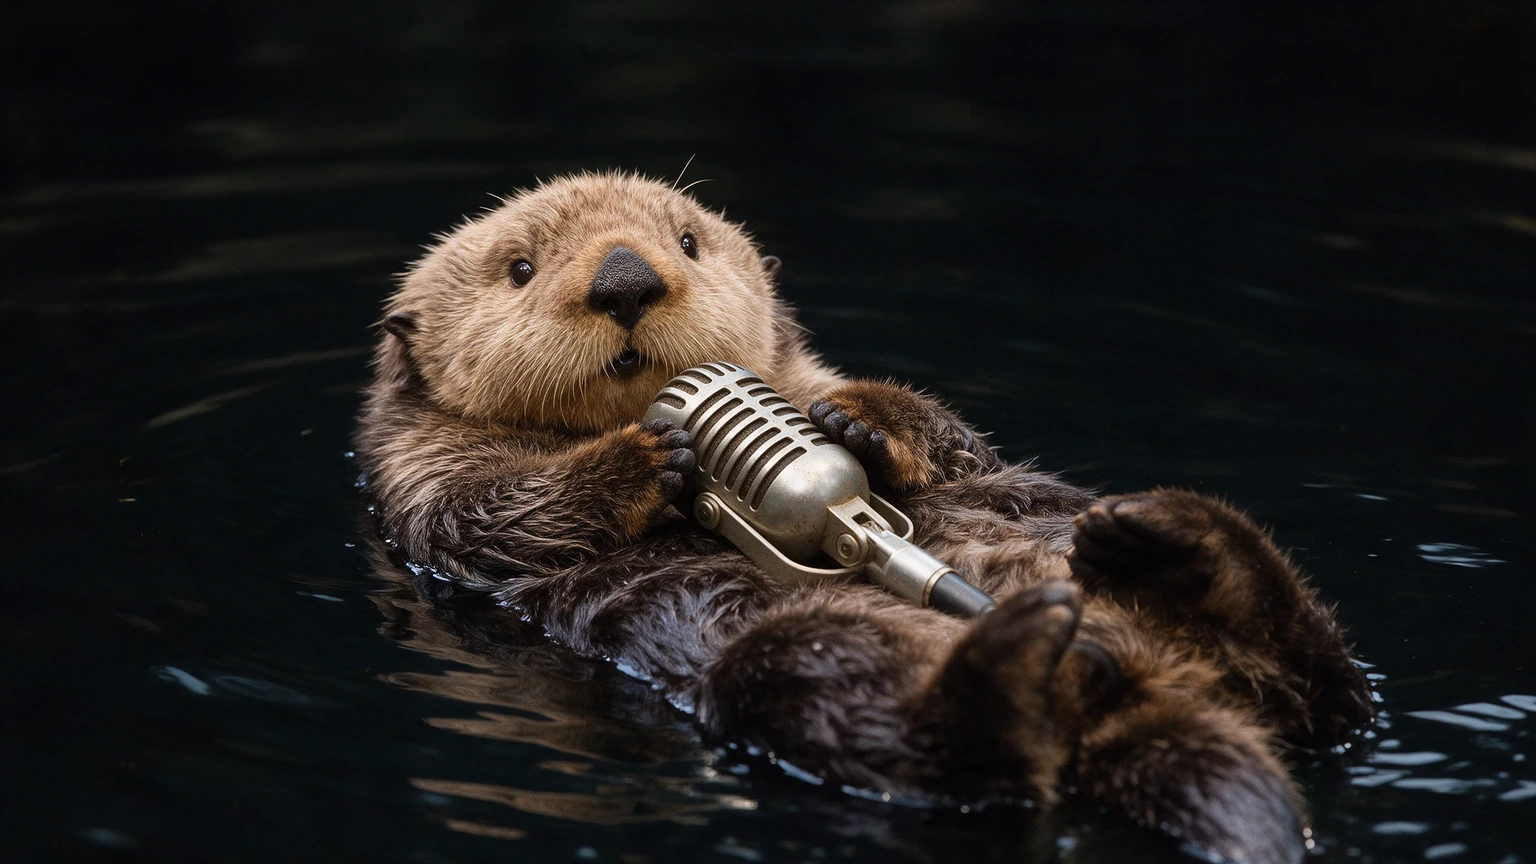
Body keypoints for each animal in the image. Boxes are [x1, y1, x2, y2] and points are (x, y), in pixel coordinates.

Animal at [355, 172, 1373, 864]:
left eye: (686, 242)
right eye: (520, 268)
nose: (624, 279)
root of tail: (1132, 682)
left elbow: (959, 446)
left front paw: (861, 419)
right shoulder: (421, 482)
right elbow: (492, 516)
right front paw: (645, 457)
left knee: (1322, 683)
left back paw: (1180, 544)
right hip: (798, 664)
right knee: (940, 746)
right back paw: (1018, 655)